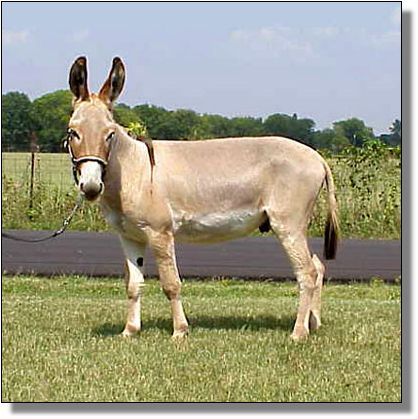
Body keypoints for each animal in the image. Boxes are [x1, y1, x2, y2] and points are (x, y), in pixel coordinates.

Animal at [67, 56, 339, 341]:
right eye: (73, 132)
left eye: (110, 134)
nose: (91, 186)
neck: (134, 170)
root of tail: (317, 157)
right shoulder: (130, 236)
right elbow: (133, 284)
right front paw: (130, 331)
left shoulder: (160, 233)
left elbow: (171, 284)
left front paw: (179, 331)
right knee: (317, 266)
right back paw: (313, 323)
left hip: (288, 224)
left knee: (307, 272)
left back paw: (298, 333)